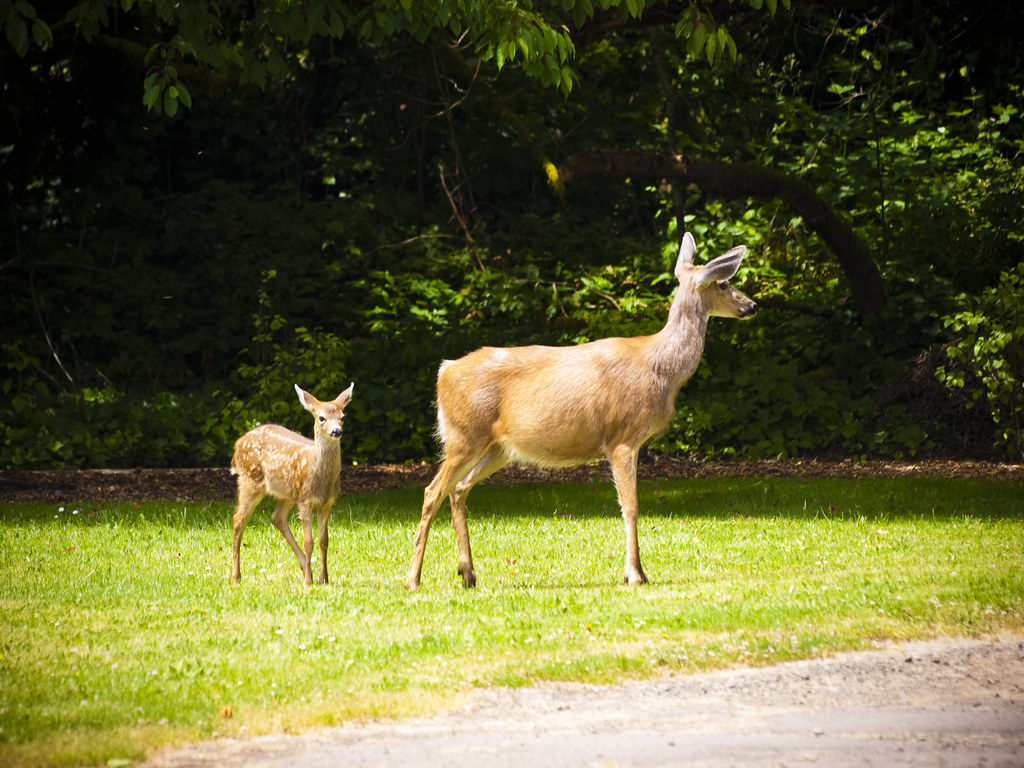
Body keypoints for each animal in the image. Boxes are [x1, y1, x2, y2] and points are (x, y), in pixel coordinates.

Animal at [232, 385, 356, 589]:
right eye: (321, 418)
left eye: (343, 416)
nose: (336, 431)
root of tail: (237, 444)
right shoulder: (305, 499)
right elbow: (309, 541)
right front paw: (308, 583)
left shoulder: (327, 502)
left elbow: (324, 540)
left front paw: (324, 579)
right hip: (250, 481)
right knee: (238, 521)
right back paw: (236, 578)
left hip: (287, 494)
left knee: (277, 518)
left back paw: (306, 568)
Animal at [405, 231, 753, 593]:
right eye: (724, 283)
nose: (752, 305)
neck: (661, 370)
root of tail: (444, 371)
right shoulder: (621, 437)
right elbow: (631, 506)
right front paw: (635, 574)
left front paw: (637, 572)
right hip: (463, 435)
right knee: (433, 492)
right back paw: (413, 579)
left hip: (498, 447)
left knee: (458, 489)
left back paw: (468, 573)